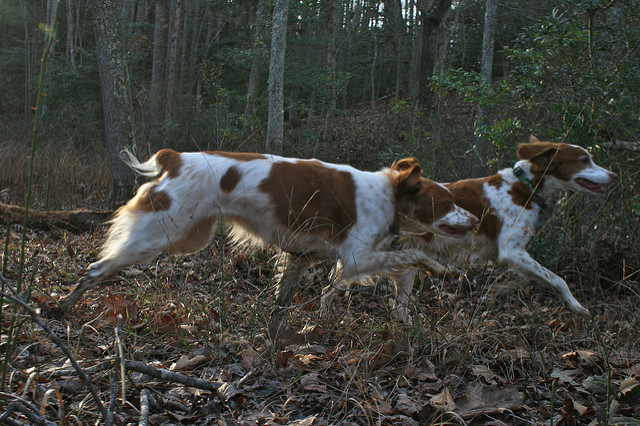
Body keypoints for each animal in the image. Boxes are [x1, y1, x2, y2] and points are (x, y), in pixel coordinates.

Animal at [55, 151, 478, 326]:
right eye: (446, 202)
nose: (476, 219)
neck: (388, 196)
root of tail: (175, 157)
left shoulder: (302, 256)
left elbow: (290, 300)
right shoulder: (358, 256)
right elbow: (411, 260)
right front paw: (438, 268)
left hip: (188, 235)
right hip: (162, 233)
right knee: (96, 267)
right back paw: (63, 305)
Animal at [386, 136, 618, 318]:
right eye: (583, 160)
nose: (614, 175)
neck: (525, 186)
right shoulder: (511, 252)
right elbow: (558, 279)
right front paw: (576, 306)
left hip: (406, 263)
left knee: (399, 311)